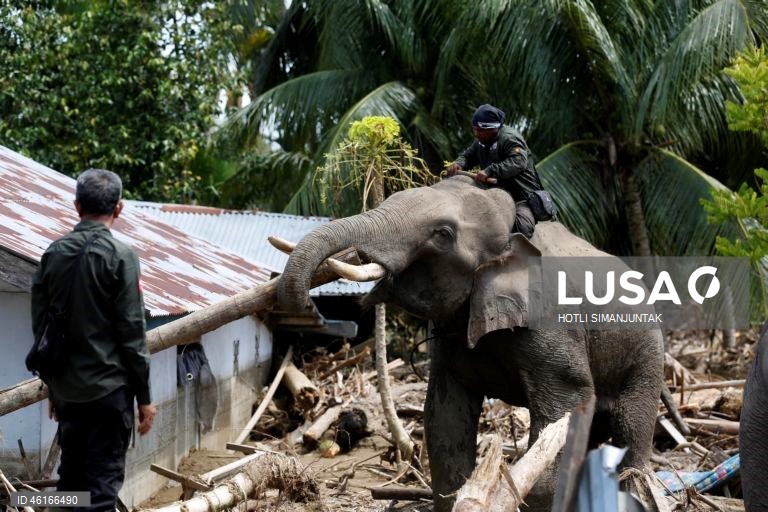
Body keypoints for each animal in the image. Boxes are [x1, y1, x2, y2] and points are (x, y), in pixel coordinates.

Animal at [277, 176, 664, 511]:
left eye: (442, 234)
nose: (311, 308)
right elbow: (444, 416)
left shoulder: (551, 322)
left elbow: (568, 406)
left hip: (648, 351)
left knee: (631, 425)